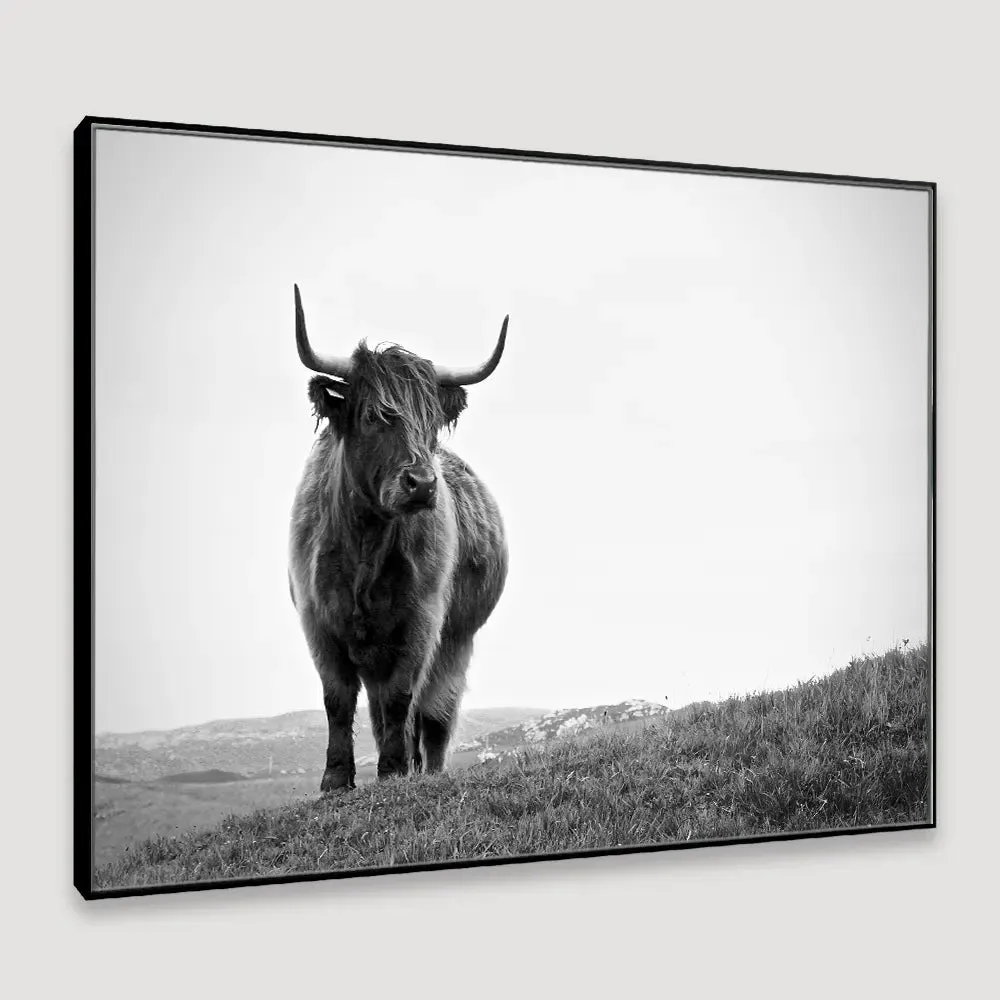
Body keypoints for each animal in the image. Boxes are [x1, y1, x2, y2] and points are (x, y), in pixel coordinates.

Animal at [287, 285, 509, 794]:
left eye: (430, 423)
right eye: (373, 416)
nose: (422, 484)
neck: (365, 545)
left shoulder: (421, 621)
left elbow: (402, 698)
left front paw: (391, 771)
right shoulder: (317, 621)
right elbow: (337, 699)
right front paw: (335, 780)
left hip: (456, 641)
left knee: (433, 716)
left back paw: (424, 769)